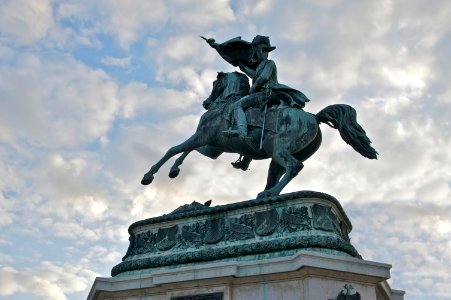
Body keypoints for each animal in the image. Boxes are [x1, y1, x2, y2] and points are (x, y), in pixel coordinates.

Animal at [141, 71, 378, 198]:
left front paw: (149, 175)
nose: (206, 103)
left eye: (215, 83)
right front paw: (174, 170)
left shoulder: (202, 136)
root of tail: (314, 117)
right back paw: (264, 195)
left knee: (294, 166)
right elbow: (187, 151)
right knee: (279, 173)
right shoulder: (212, 147)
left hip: (279, 149)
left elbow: (174, 149)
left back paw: (270, 194)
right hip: (277, 155)